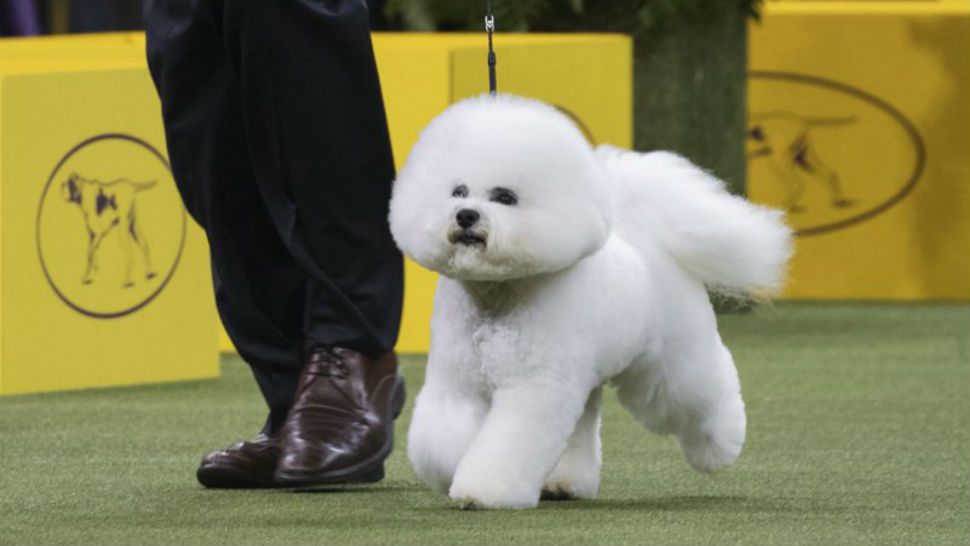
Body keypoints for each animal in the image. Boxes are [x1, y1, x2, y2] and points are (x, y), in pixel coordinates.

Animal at [390, 93, 792, 506]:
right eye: (457, 191)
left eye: (505, 197)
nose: (465, 215)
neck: (495, 297)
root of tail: (648, 240)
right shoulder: (456, 383)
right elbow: (442, 438)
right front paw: (453, 468)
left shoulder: (534, 387)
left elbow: (509, 444)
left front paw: (483, 490)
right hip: (587, 378)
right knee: (582, 424)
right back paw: (563, 483)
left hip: (670, 361)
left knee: (700, 393)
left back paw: (717, 447)